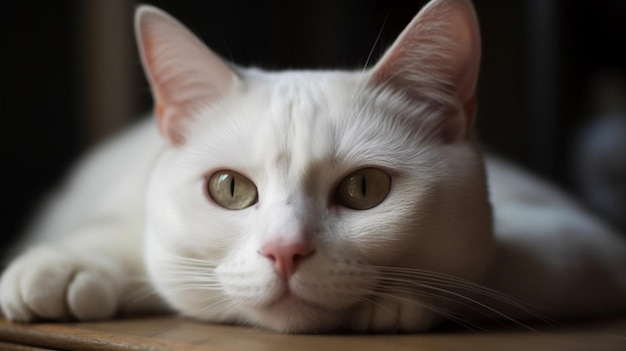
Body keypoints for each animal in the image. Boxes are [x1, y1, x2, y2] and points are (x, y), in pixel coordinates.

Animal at [1, 0, 624, 334]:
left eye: (365, 188)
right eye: (229, 188)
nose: (285, 251)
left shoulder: (578, 247)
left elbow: (488, 266)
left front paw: (397, 304)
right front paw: (59, 269)